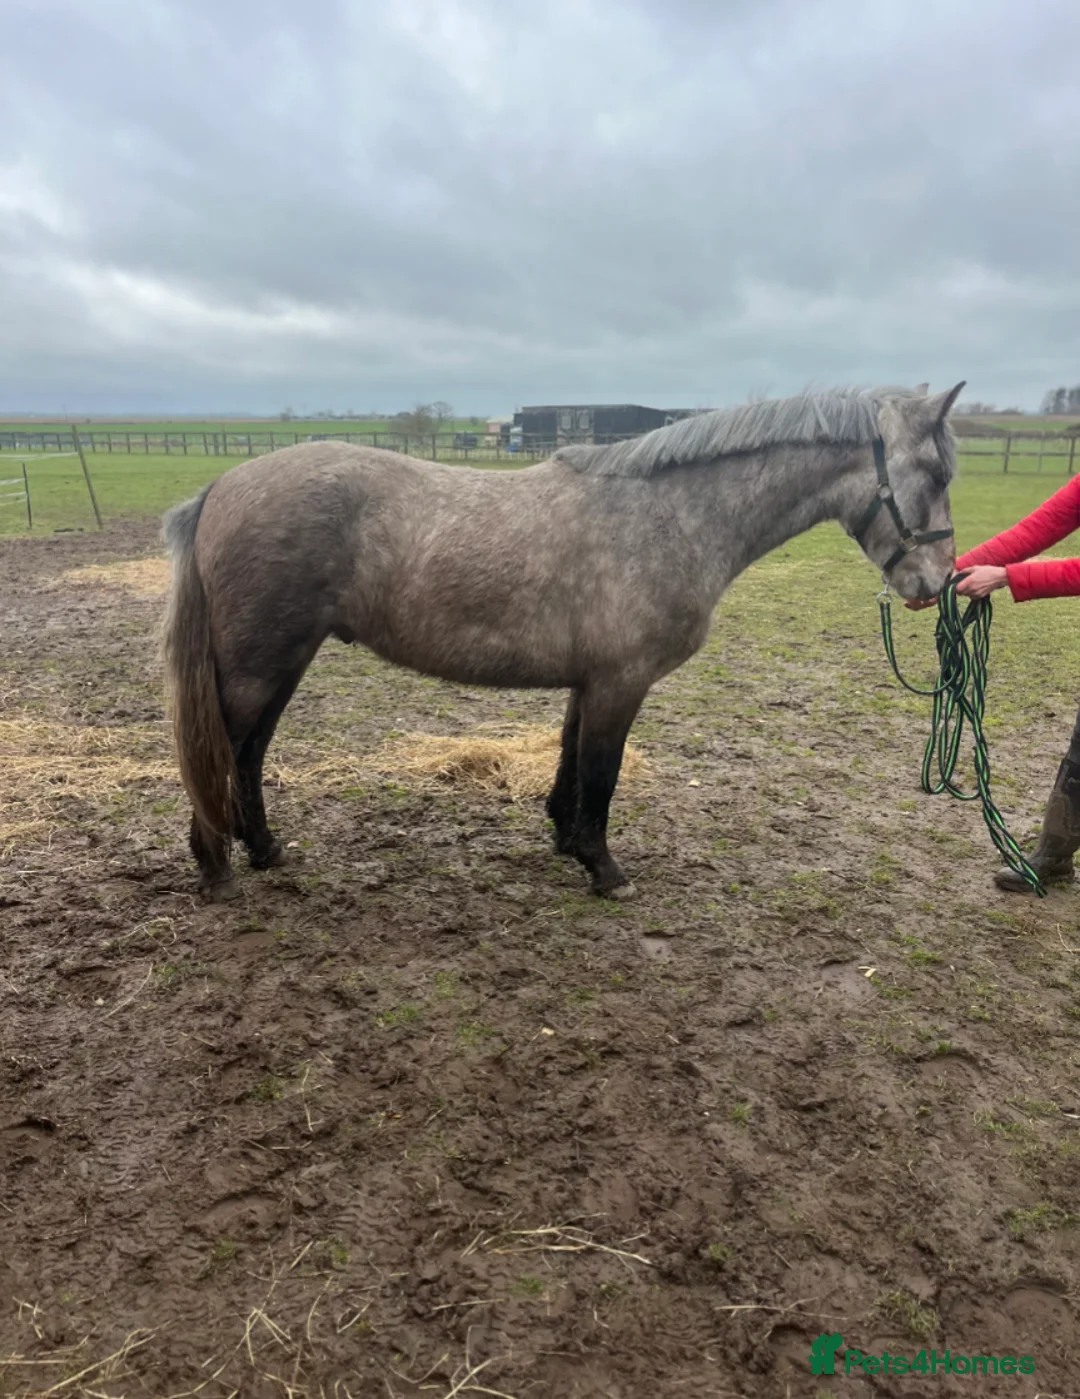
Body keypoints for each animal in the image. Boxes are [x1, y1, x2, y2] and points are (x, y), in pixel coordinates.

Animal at [162, 382, 964, 902]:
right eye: (932, 472)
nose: (936, 581)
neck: (674, 515)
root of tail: (221, 488)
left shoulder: (591, 680)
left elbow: (572, 764)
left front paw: (567, 842)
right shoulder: (621, 680)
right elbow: (601, 773)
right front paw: (605, 870)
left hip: (284, 662)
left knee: (247, 756)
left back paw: (264, 851)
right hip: (258, 666)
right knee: (220, 752)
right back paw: (216, 868)